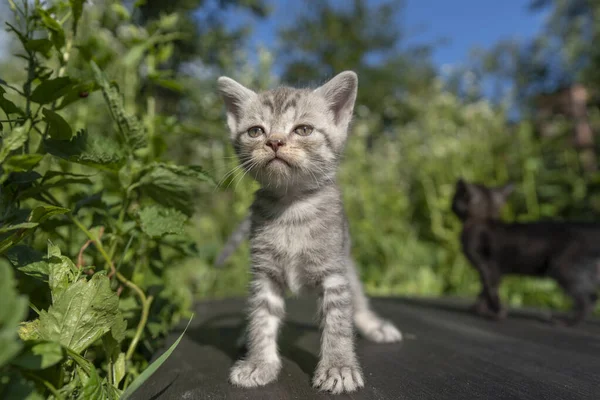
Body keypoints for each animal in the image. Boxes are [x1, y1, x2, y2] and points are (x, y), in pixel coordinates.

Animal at [217, 71, 404, 394]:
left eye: (303, 129)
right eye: (255, 131)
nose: (274, 141)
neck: (292, 209)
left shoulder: (334, 273)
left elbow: (338, 323)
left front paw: (338, 368)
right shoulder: (264, 273)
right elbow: (262, 318)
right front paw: (259, 363)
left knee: (357, 296)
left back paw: (373, 325)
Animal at [452, 178, 596, 324]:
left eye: (456, 196)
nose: (457, 183)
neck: (485, 219)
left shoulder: (488, 266)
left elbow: (490, 289)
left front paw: (497, 312)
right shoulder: (497, 272)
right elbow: (485, 290)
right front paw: (479, 308)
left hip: (563, 268)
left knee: (586, 301)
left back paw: (567, 322)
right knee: (592, 296)